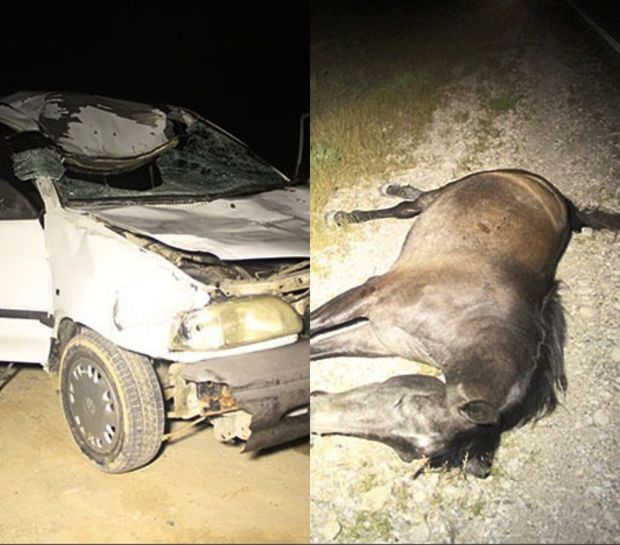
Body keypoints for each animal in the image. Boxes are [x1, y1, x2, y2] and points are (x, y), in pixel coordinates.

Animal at [312, 169, 616, 476]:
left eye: (406, 455)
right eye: (402, 403)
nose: (319, 414)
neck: (468, 317)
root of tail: (555, 195)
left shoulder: (377, 338)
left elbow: (319, 348)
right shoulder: (367, 297)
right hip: (456, 186)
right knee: (411, 206)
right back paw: (353, 211)